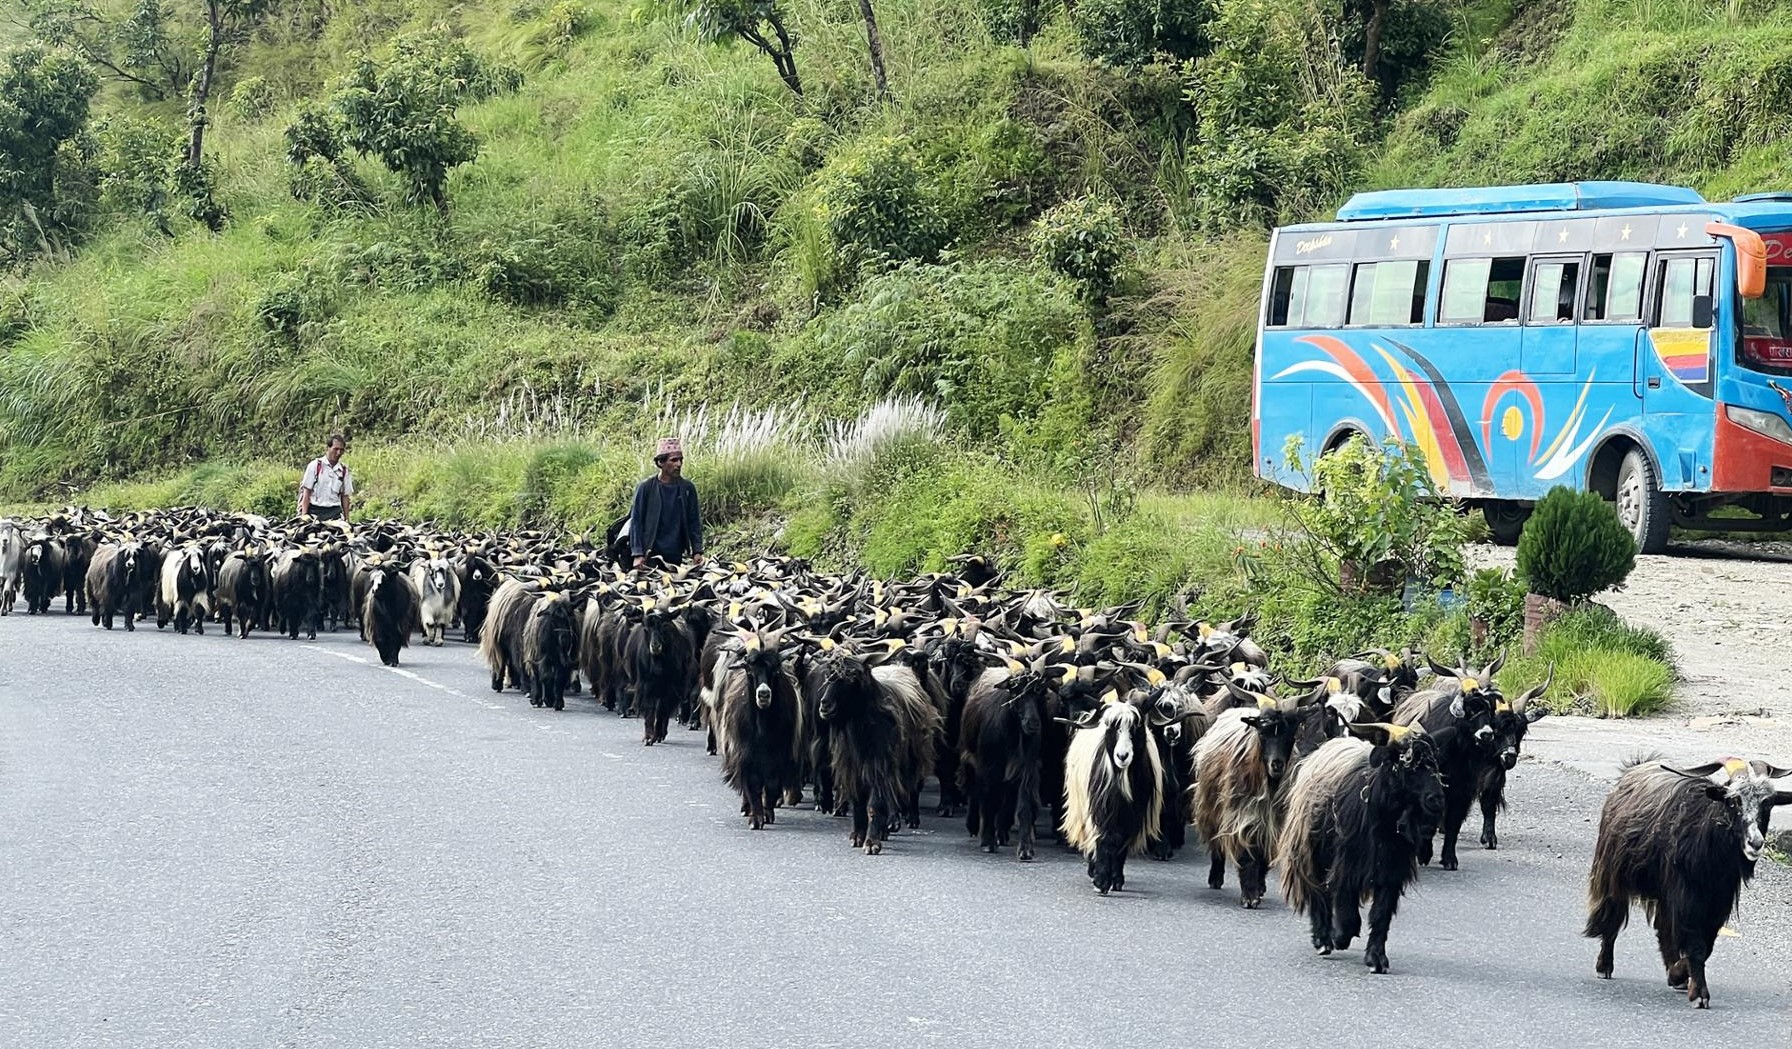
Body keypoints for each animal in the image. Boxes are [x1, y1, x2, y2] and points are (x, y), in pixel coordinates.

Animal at [1283, 720, 1447, 975]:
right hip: (1311, 851)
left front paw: (1376, 959)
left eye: (1435, 763)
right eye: (1408, 766)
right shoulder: (1346, 865)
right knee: (1319, 893)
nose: (1436, 799)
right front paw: (1338, 937)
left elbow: (1380, 914)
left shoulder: (1391, 871)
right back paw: (1323, 940)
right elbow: (1348, 913)